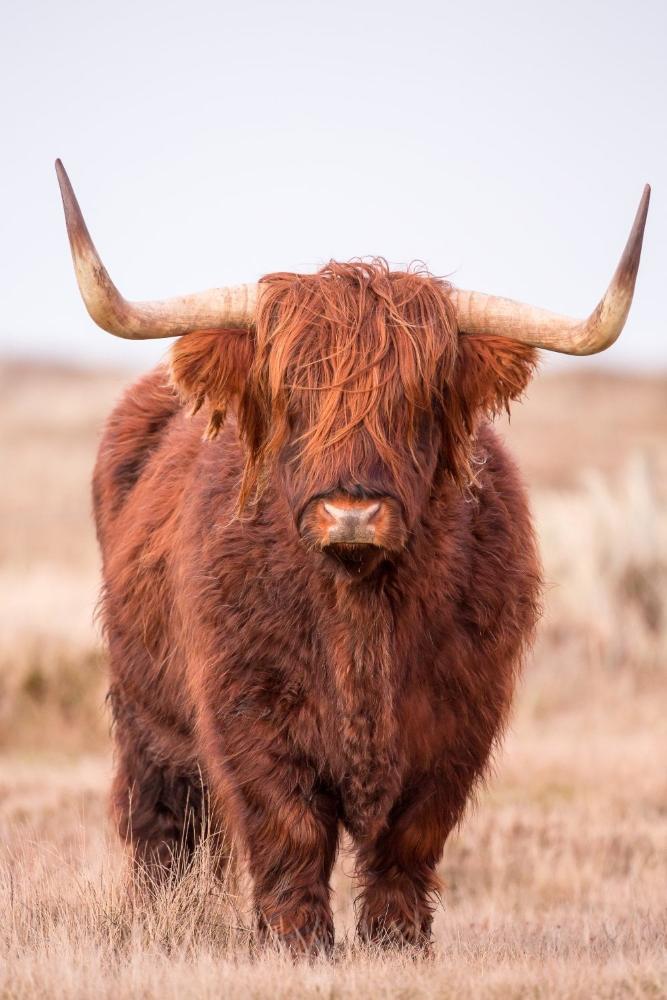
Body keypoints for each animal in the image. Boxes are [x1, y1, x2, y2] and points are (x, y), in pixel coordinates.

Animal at [54, 164, 648, 952]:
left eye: (416, 401)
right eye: (291, 399)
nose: (352, 513)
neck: (357, 605)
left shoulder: (460, 716)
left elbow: (411, 834)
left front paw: (398, 939)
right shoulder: (247, 708)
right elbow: (289, 825)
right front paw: (295, 939)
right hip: (144, 709)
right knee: (162, 820)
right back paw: (159, 913)